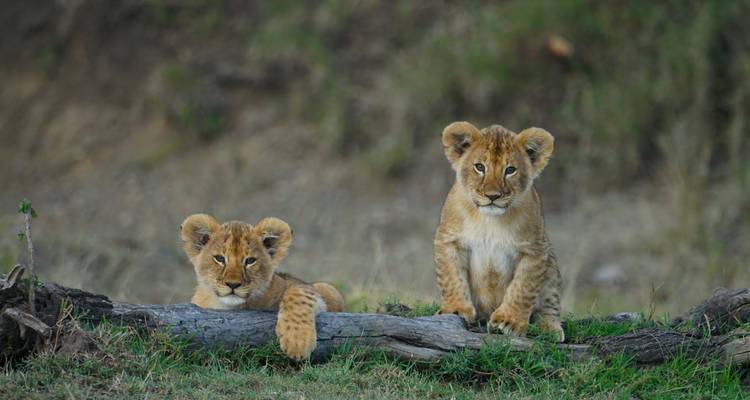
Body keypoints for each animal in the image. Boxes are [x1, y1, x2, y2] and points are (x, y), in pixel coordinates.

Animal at [180, 214, 345, 360]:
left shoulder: (320, 290)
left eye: (250, 261)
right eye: (219, 259)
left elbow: (299, 293)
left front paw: (297, 341)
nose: (233, 284)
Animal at [434, 121, 564, 342]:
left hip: (551, 265)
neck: (490, 221)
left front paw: (509, 321)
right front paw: (455, 309)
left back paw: (550, 328)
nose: (492, 196)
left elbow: (523, 287)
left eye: (510, 170)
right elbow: (452, 278)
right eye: (479, 167)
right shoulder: (448, 240)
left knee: (549, 305)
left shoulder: (535, 249)